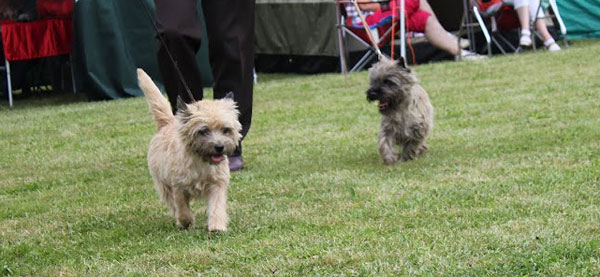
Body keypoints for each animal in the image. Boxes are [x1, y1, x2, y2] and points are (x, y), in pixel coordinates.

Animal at [137, 69, 240, 231]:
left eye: (226, 130)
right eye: (203, 131)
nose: (219, 147)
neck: (201, 162)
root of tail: (168, 122)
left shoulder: (217, 184)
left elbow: (217, 206)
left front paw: (217, 226)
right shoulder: (178, 187)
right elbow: (182, 207)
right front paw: (186, 222)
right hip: (162, 184)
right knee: (172, 204)